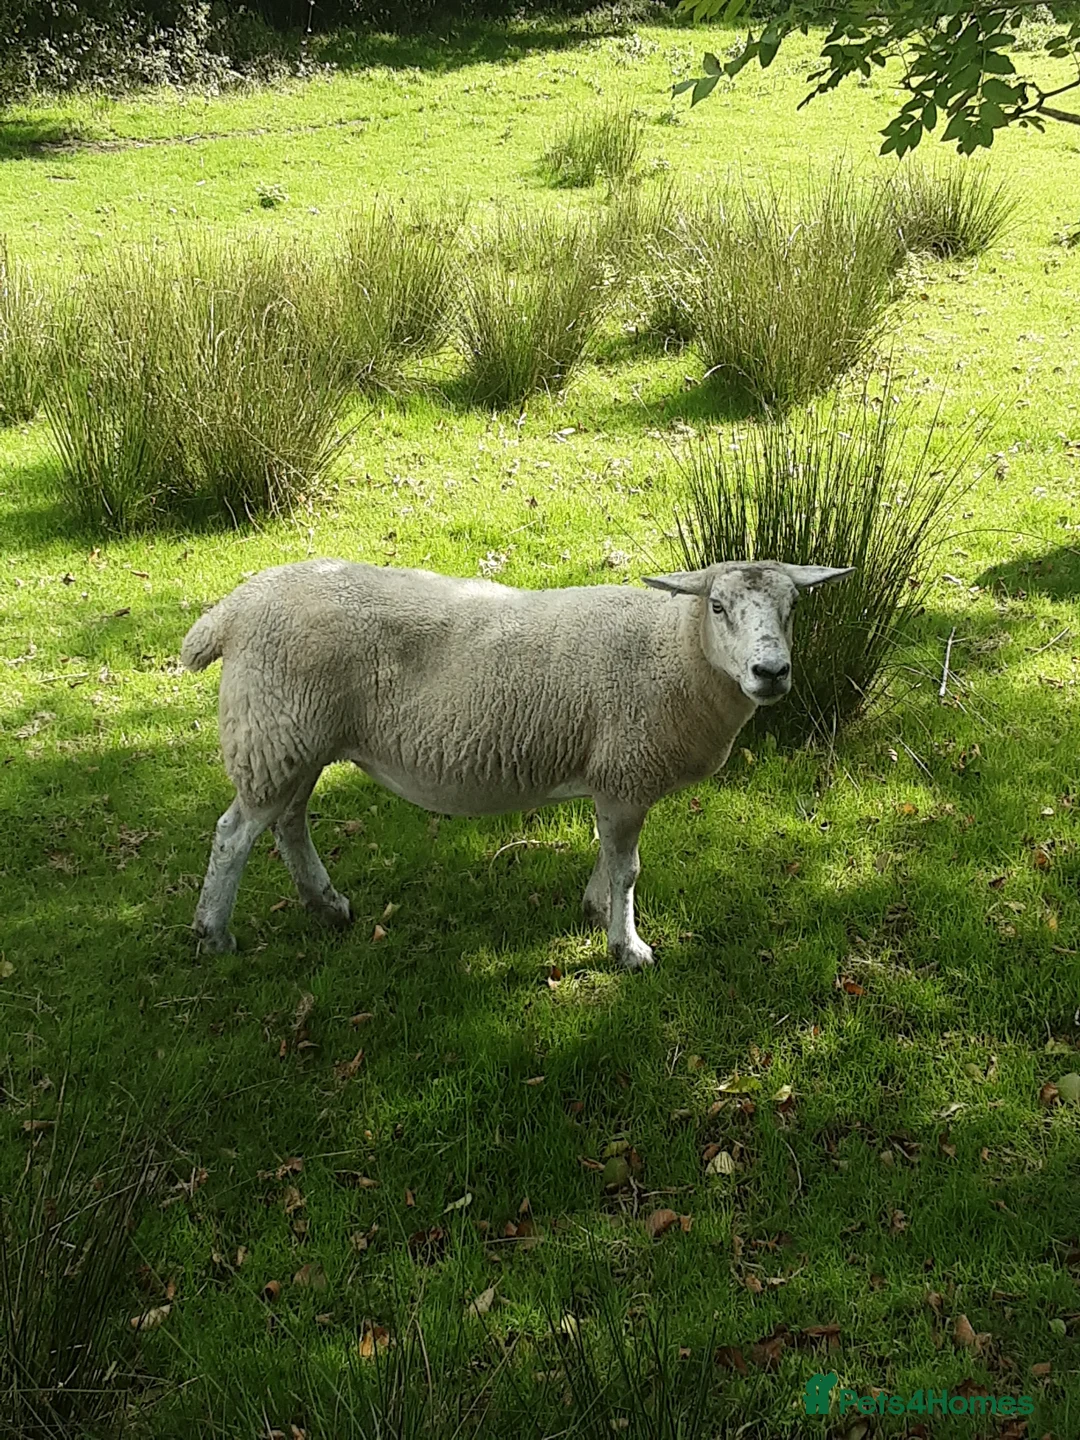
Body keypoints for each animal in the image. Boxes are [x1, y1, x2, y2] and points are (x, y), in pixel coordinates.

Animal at [181, 558, 853, 965]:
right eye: (716, 606)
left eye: (793, 608)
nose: (772, 672)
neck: (672, 653)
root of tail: (235, 607)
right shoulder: (627, 772)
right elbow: (629, 869)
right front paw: (627, 947)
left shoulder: (613, 777)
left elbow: (611, 858)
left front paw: (595, 908)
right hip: (272, 734)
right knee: (233, 834)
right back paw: (214, 934)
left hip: (294, 741)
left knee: (288, 824)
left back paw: (327, 906)